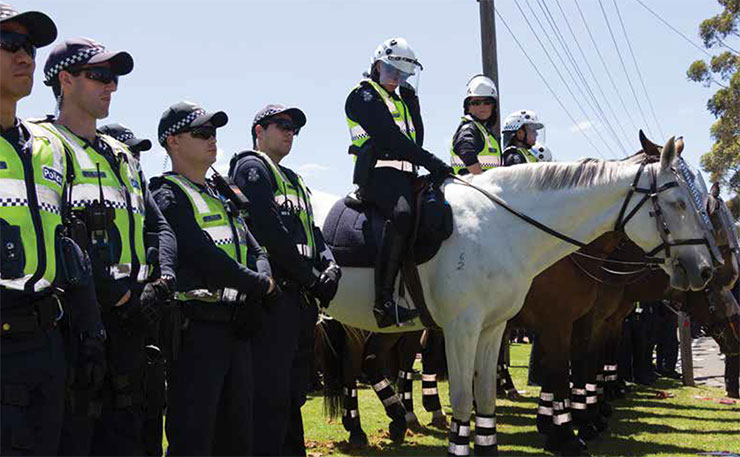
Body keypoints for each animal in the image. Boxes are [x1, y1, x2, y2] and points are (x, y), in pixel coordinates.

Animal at [314, 140, 716, 456]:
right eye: (678, 202)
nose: (705, 269)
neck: (500, 227)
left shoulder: (495, 327)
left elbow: (487, 394)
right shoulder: (469, 327)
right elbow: (475, 394)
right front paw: (567, 433)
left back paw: (388, 421)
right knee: (359, 364)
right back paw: (371, 425)